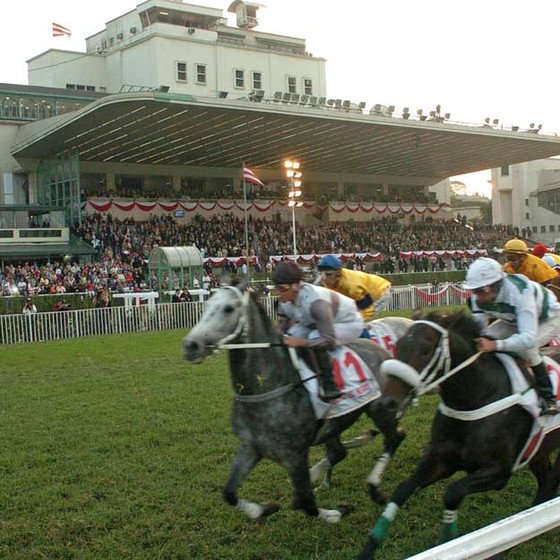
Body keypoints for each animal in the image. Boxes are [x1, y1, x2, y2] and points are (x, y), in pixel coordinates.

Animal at [184, 282, 406, 524]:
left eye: (228, 309)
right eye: (205, 305)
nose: (190, 345)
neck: (267, 390)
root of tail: (382, 351)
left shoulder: (296, 454)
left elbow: (307, 503)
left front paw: (337, 512)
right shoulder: (250, 447)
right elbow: (229, 492)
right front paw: (264, 509)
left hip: (381, 409)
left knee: (394, 438)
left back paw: (374, 487)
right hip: (335, 425)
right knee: (340, 451)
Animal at [356, 310, 560, 560]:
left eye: (425, 349)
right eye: (398, 345)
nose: (384, 404)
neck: (475, 398)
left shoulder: (499, 472)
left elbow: (452, 493)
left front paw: (450, 542)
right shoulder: (442, 460)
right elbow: (402, 489)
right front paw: (368, 549)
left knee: (549, 485)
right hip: (539, 451)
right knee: (545, 484)